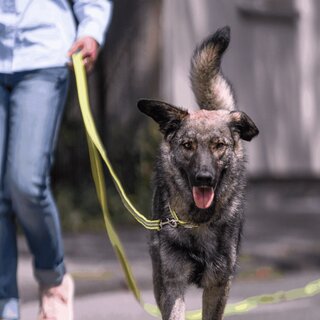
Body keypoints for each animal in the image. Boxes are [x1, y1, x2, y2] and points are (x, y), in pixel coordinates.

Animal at [137, 26, 258, 318]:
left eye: (218, 145)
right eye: (188, 145)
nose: (204, 178)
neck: (200, 222)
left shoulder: (218, 284)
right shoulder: (172, 283)